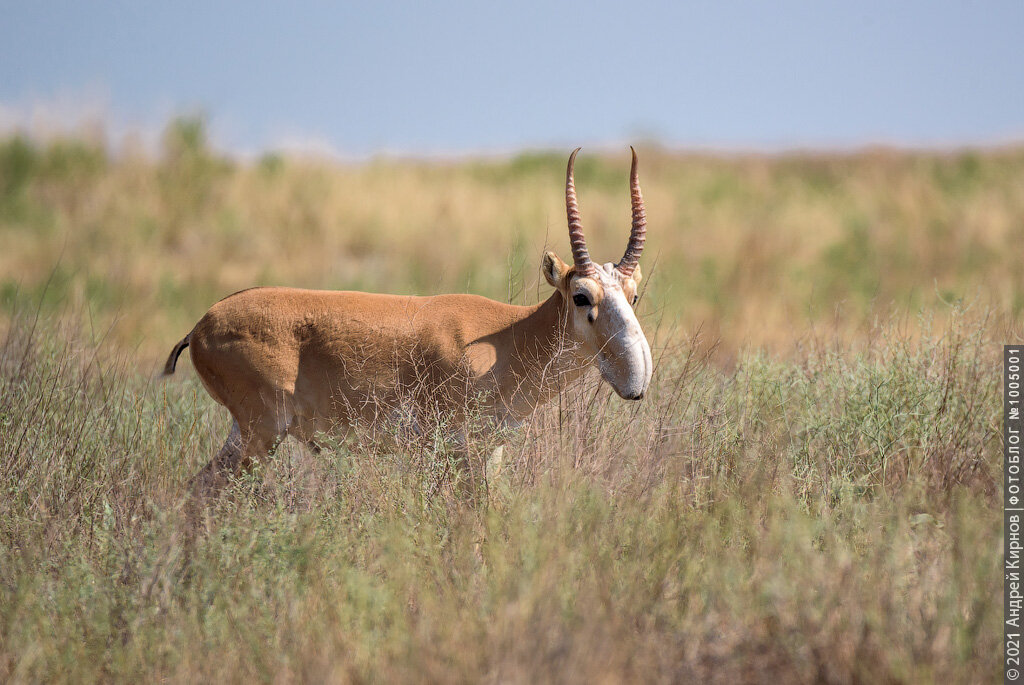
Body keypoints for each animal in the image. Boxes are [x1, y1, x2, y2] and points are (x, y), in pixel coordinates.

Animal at [163, 147, 651, 493]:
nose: (637, 379)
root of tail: (201, 325)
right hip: (259, 436)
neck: (507, 338)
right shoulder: (456, 453)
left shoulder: (488, 455)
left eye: (633, 293)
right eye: (581, 296)